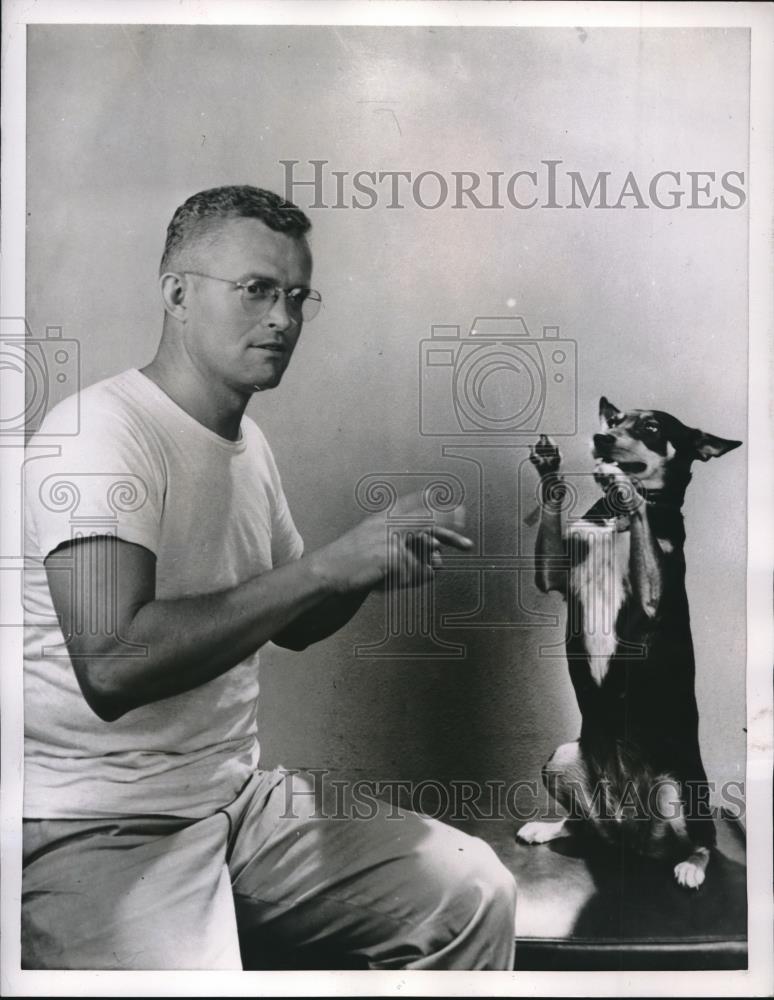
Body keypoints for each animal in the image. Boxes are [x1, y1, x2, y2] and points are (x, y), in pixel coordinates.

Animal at [520, 398, 744, 892]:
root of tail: (631, 836)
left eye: (653, 428)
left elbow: (642, 514)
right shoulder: (553, 575)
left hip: (681, 788)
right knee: (584, 825)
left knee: (706, 840)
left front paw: (626, 483)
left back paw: (692, 866)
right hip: (563, 760)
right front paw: (549, 464)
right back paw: (550, 827)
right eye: (616, 420)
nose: (603, 438)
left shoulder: (653, 595)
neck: (617, 524)